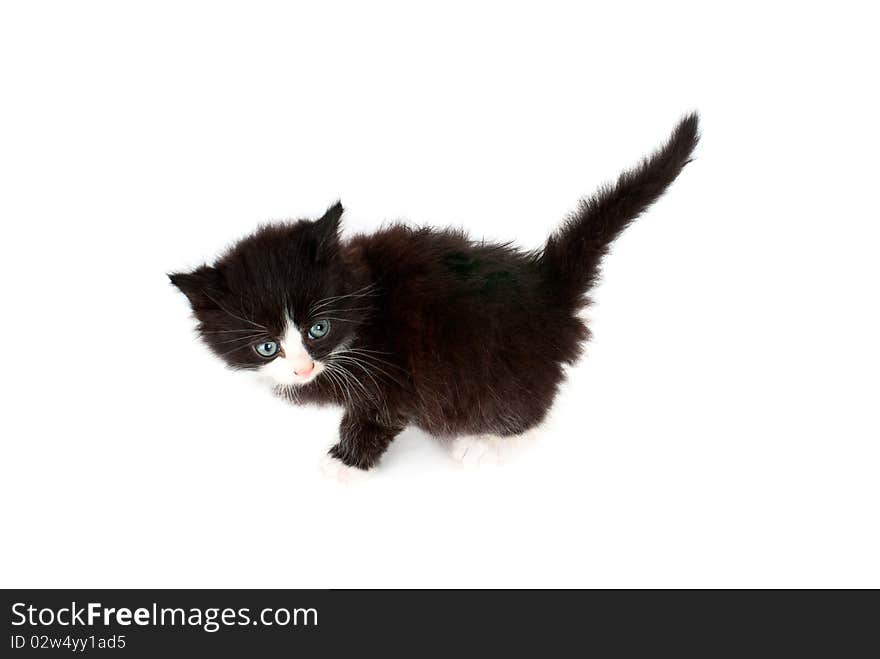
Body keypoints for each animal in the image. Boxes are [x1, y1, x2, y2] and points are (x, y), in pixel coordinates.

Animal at [168, 116, 696, 476]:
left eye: (318, 328)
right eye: (266, 346)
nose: (301, 368)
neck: (364, 310)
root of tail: (547, 285)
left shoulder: (391, 377)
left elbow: (375, 416)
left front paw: (344, 464)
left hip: (497, 373)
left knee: (533, 412)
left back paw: (485, 442)